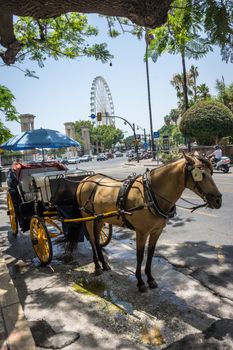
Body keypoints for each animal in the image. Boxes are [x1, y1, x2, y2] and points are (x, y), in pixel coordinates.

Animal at [75, 153, 221, 292]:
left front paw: (150, 278)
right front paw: (140, 282)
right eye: (200, 174)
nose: (218, 200)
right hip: (87, 217)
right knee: (92, 240)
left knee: (96, 239)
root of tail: (85, 180)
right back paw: (97, 266)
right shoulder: (141, 232)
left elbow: (150, 253)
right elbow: (140, 255)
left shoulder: (156, 231)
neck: (150, 194)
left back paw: (104, 264)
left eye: (211, 172)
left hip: (99, 219)